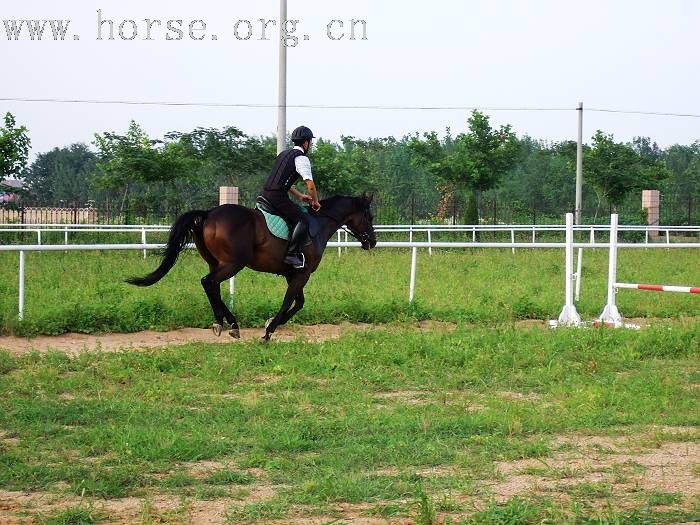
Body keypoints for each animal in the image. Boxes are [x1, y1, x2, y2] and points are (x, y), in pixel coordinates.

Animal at [126, 194, 378, 342]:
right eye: (369, 215)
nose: (372, 242)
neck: (319, 224)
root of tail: (208, 214)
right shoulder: (302, 274)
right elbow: (290, 302)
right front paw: (269, 331)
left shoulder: (293, 275)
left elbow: (298, 303)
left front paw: (271, 322)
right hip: (232, 264)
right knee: (208, 282)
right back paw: (228, 322)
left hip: (216, 262)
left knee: (212, 286)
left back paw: (226, 322)